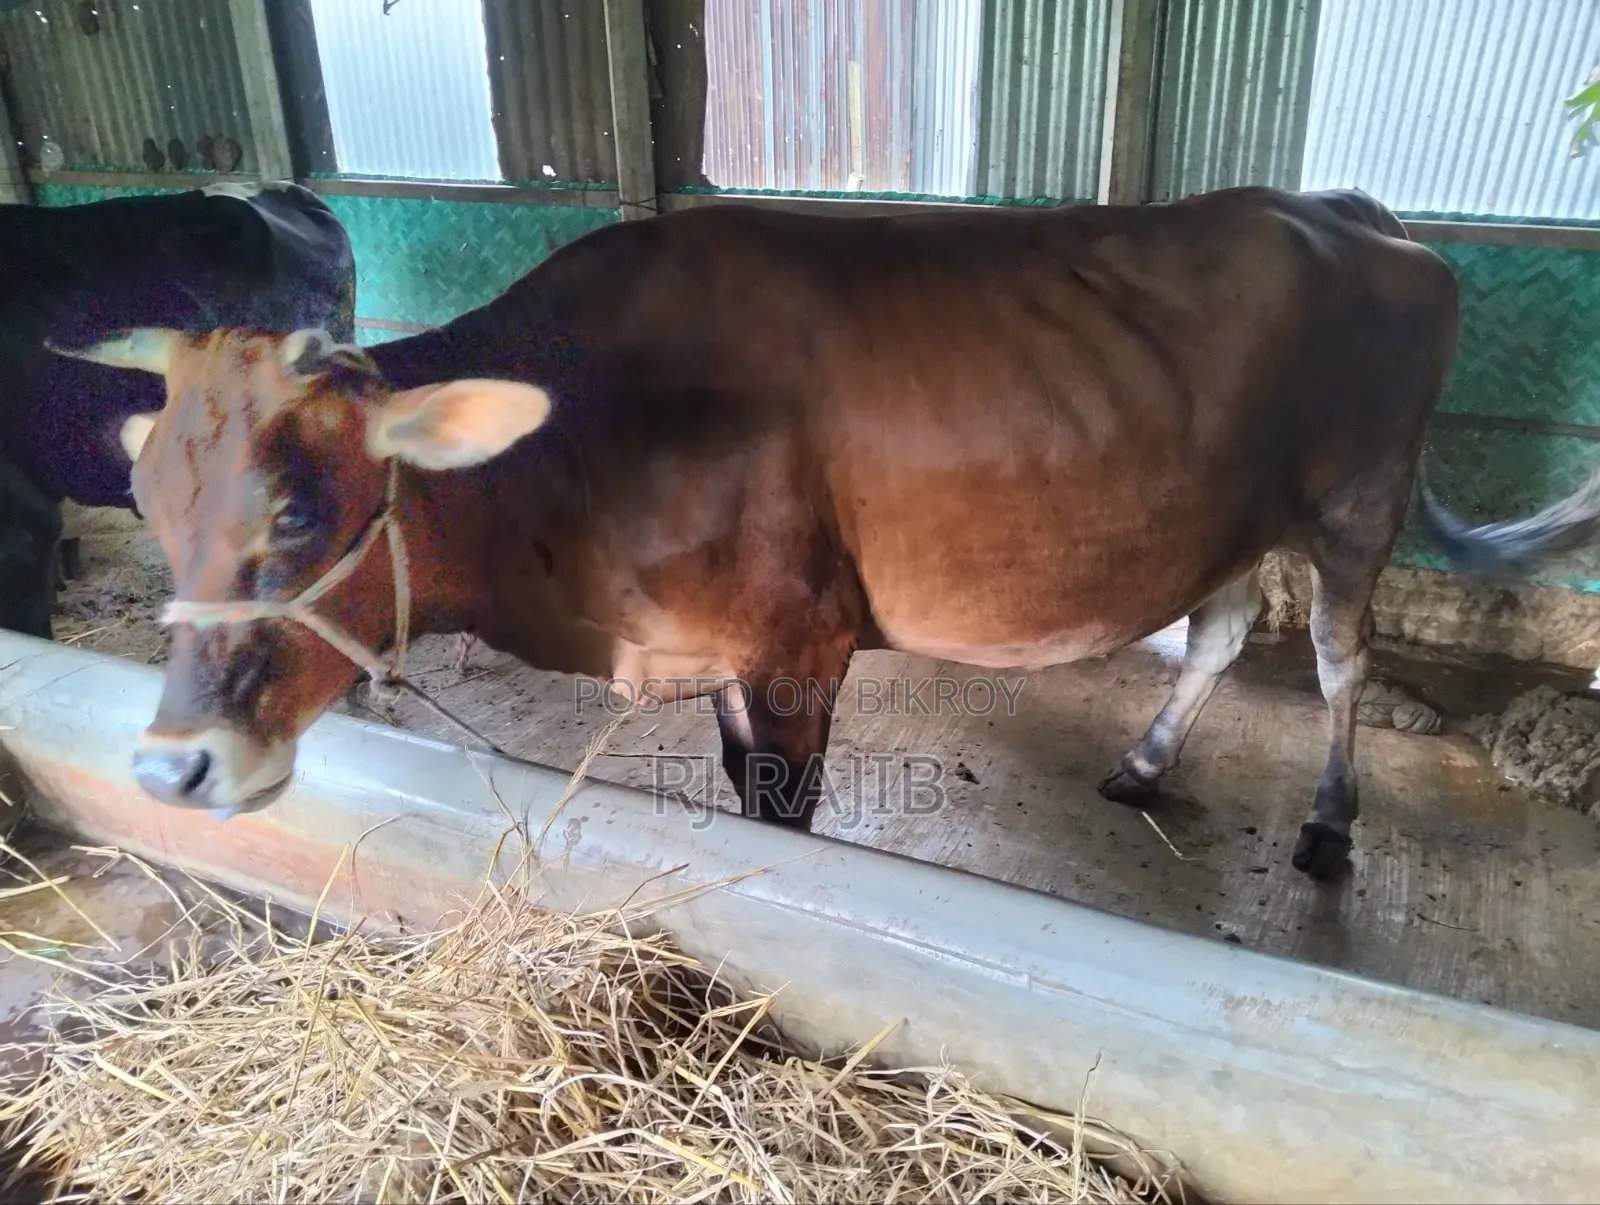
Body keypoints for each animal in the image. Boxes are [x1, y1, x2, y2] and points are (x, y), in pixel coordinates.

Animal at [50, 185, 1460, 879]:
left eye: (297, 508)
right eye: (151, 508)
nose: (173, 765)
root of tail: (1349, 212)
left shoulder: (797, 642)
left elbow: (779, 816)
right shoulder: (719, 652)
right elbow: (733, 789)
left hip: (1359, 502)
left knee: (1337, 658)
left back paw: (1331, 827)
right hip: (1239, 517)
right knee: (1218, 629)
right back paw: (1148, 762)